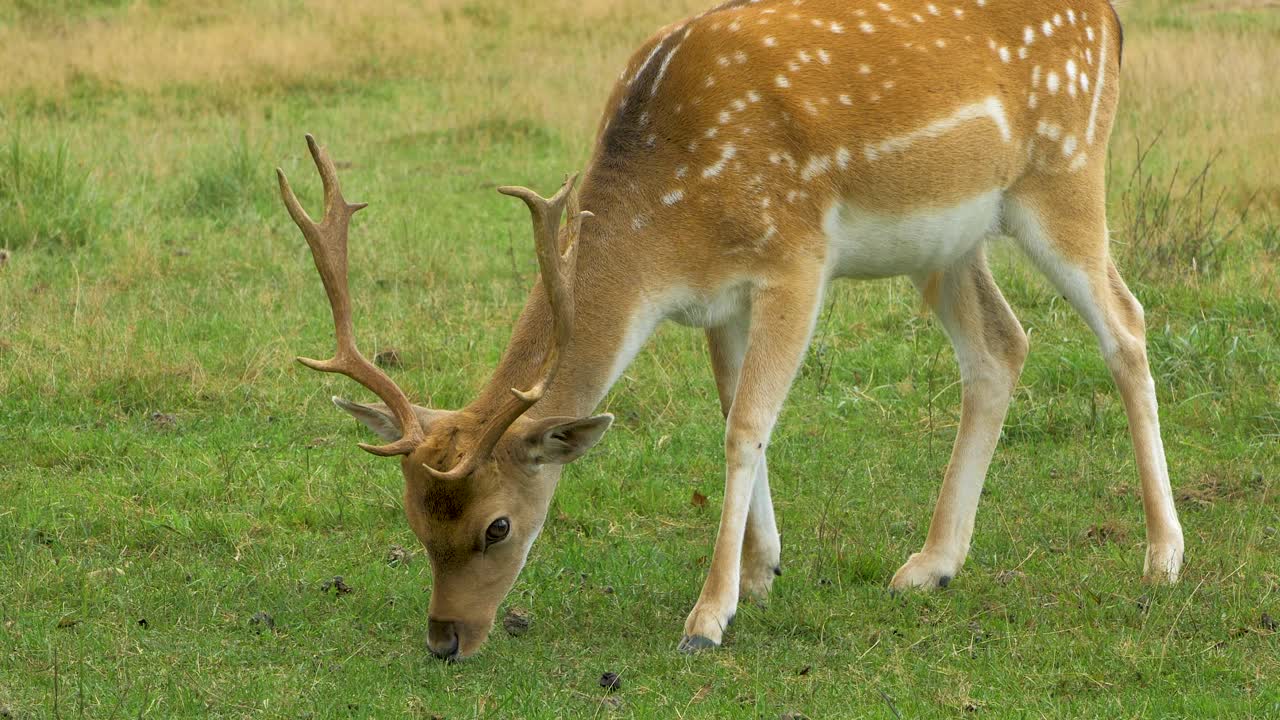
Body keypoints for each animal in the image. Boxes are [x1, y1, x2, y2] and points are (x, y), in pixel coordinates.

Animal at [276, 0, 1184, 659]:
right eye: (413, 518)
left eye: (497, 526)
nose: (444, 638)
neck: (671, 223)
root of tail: (1111, 19)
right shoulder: (722, 299)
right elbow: (735, 413)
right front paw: (760, 571)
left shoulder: (795, 258)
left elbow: (746, 426)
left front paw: (707, 617)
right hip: (949, 241)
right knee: (1002, 346)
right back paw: (931, 564)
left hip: (1064, 175)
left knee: (1127, 324)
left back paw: (1162, 558)